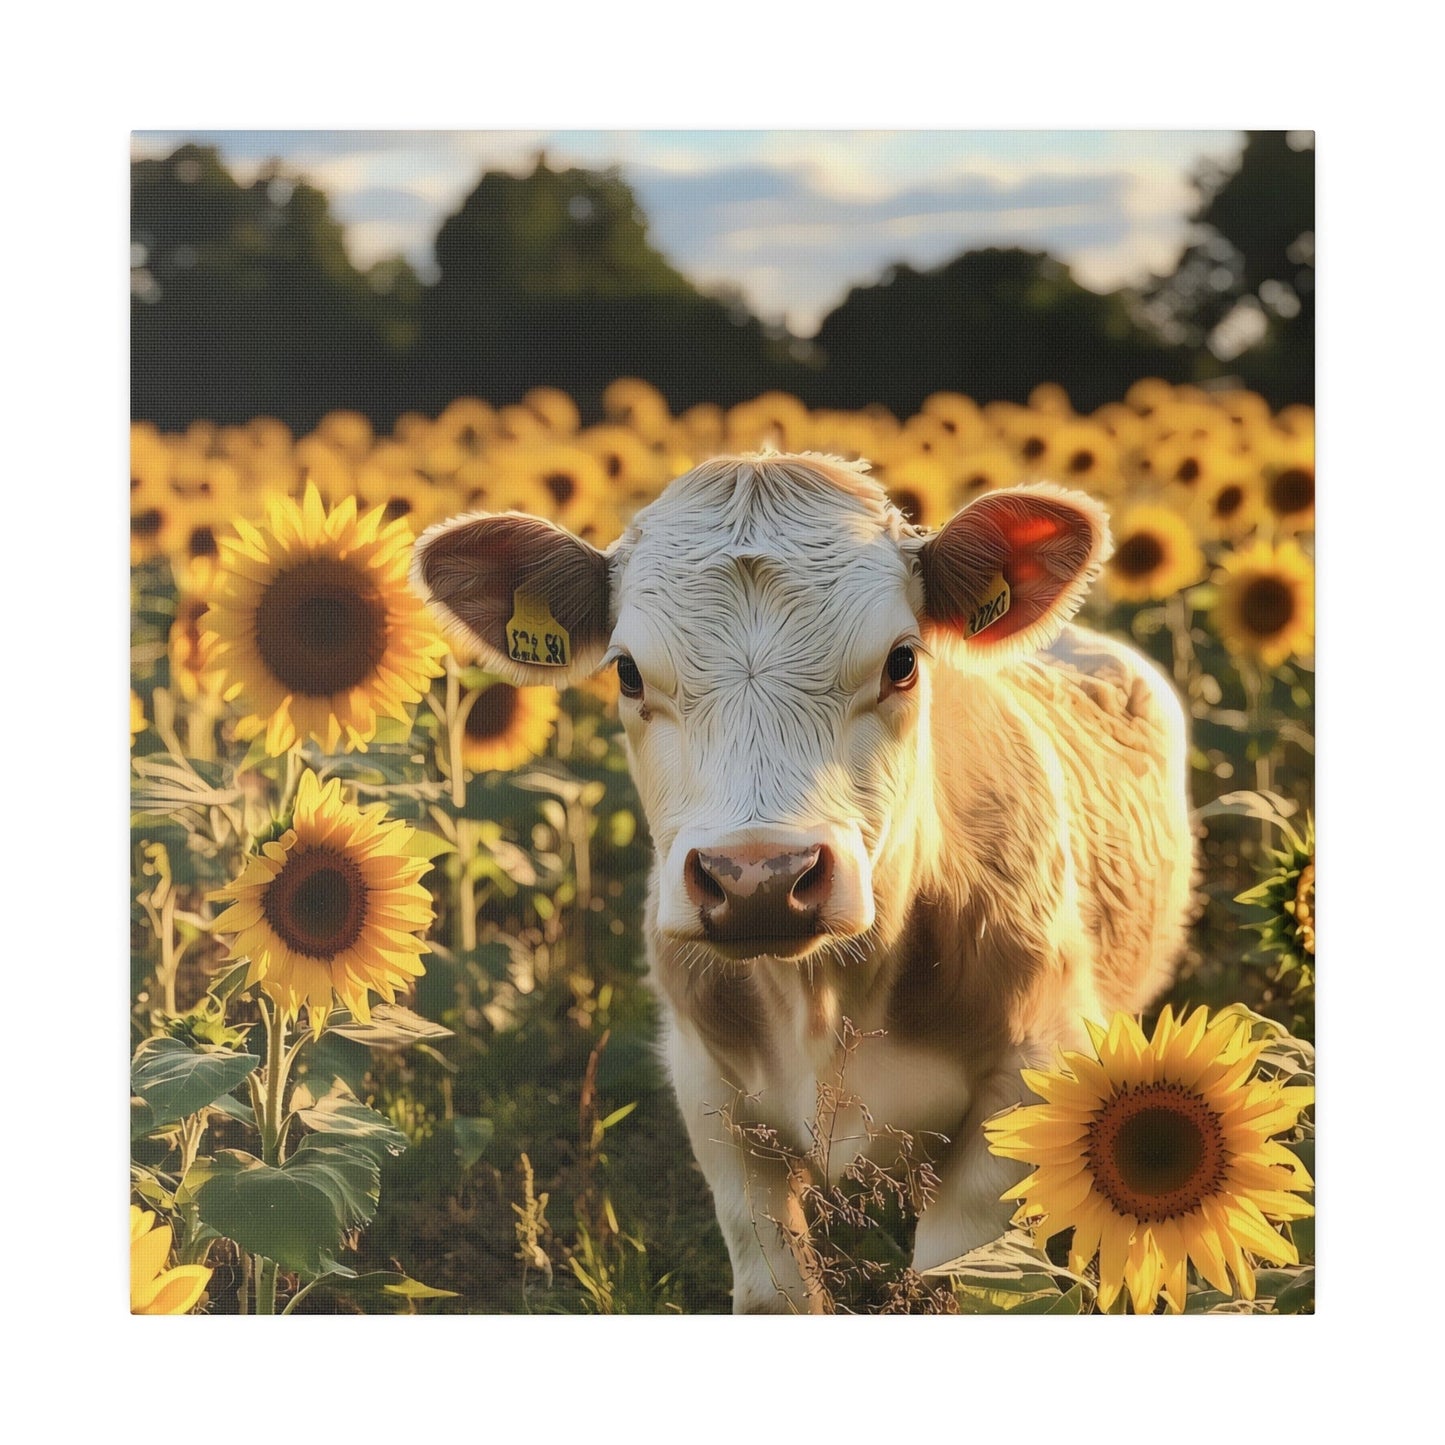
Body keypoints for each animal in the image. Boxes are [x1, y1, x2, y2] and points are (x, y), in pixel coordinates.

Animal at [413, 450, 1190, 1312]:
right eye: (626, 672)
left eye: (902, 660)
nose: (757, 876)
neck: (825, 1001)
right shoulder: (708, 1091)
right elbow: (773, 1288)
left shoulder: (1027, 1076)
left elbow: (955, 1277)